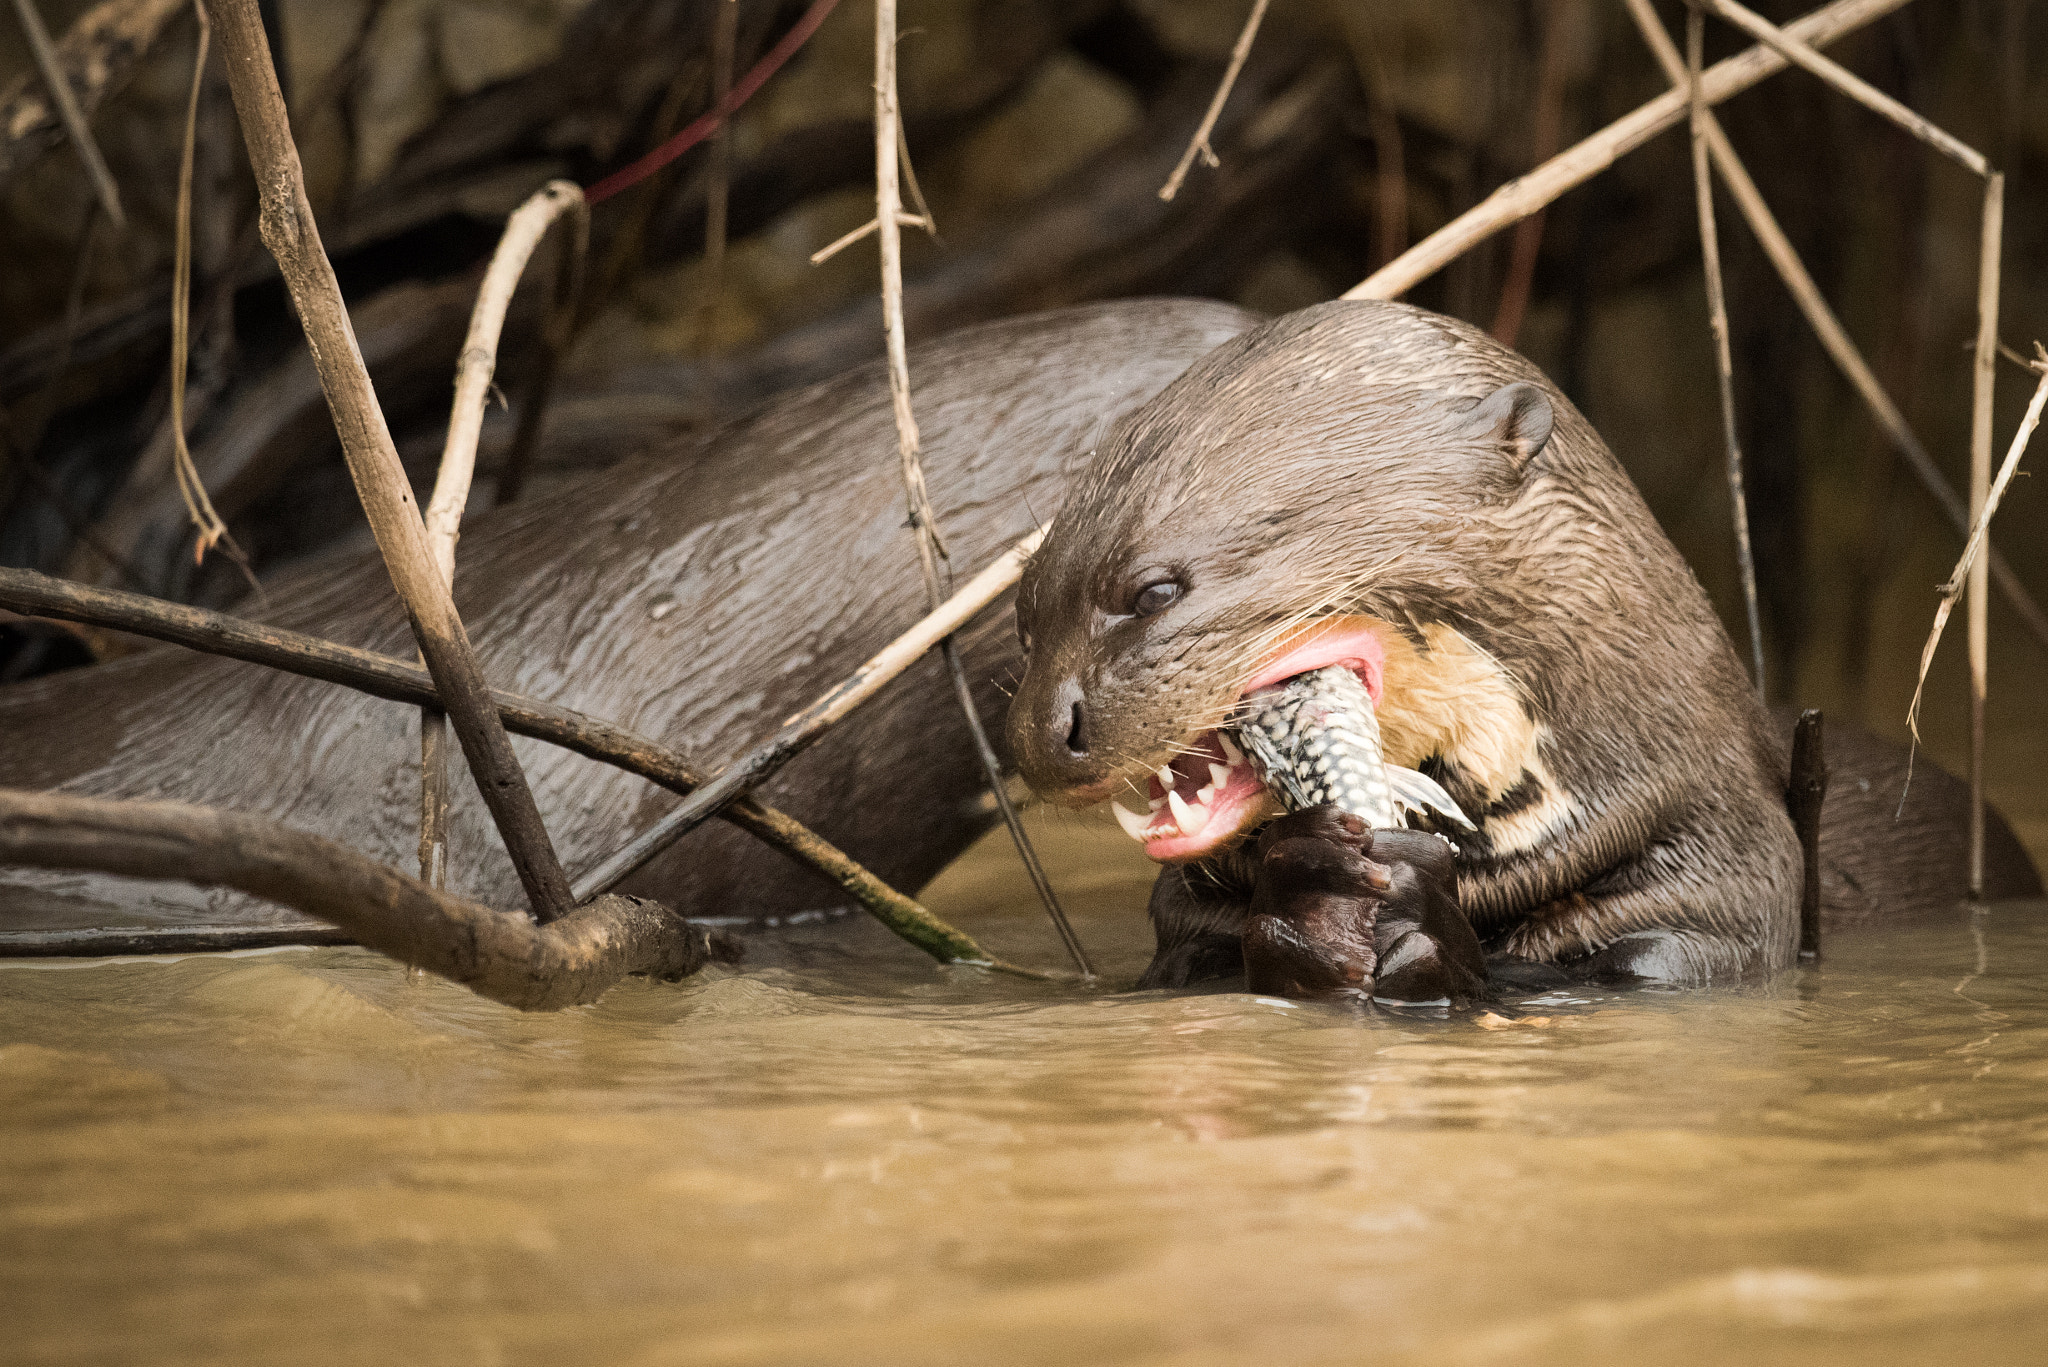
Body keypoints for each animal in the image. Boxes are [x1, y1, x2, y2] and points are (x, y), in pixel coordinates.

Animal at [1007, 301, 2031, 996]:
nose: (1040, 735)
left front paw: (1409, 908)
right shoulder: (1185, 944)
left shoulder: (1709, 910)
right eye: (1023, 611)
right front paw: (1313, 890)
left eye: (1153, 590)